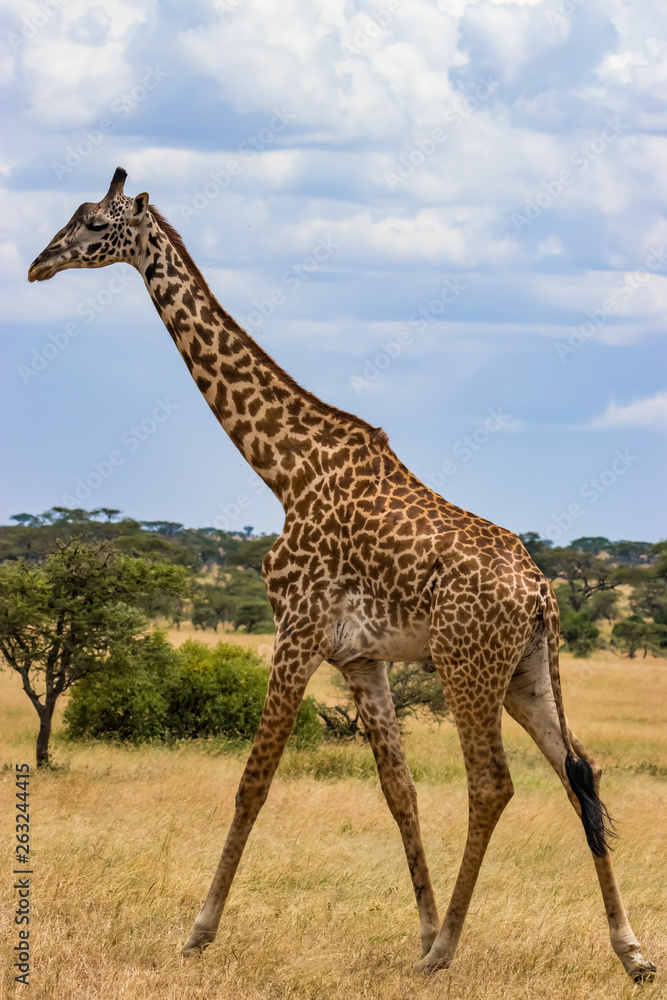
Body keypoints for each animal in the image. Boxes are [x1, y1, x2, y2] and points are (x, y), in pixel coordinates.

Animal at [28, 167, 655, 982]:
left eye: (96, 225)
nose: (38, 264)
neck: (284, 468)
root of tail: (544, 595)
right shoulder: (360, 658)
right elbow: (399, 792)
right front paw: (421, 926)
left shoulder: (296, 631)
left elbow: (252, 781)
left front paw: (198, 932)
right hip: (525, 674)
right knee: (581, 772)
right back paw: (629, 951)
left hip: (465, 665)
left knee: (493, 783)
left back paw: (449, 953)